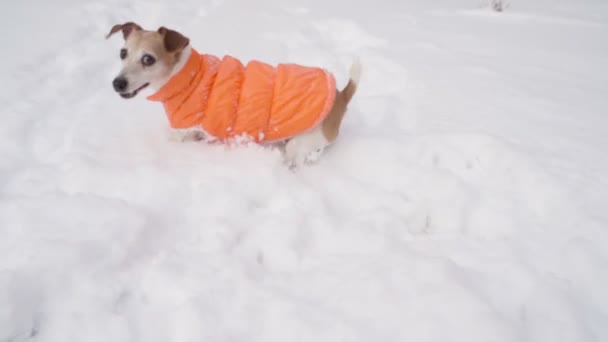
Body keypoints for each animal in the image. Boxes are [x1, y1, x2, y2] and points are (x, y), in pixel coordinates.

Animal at [106, 22, 358, 166]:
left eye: (148, 59)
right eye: (122, 53)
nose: (117, 83)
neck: (187, 74)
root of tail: (341, 97)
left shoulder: (181, 131)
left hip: (300, 143)